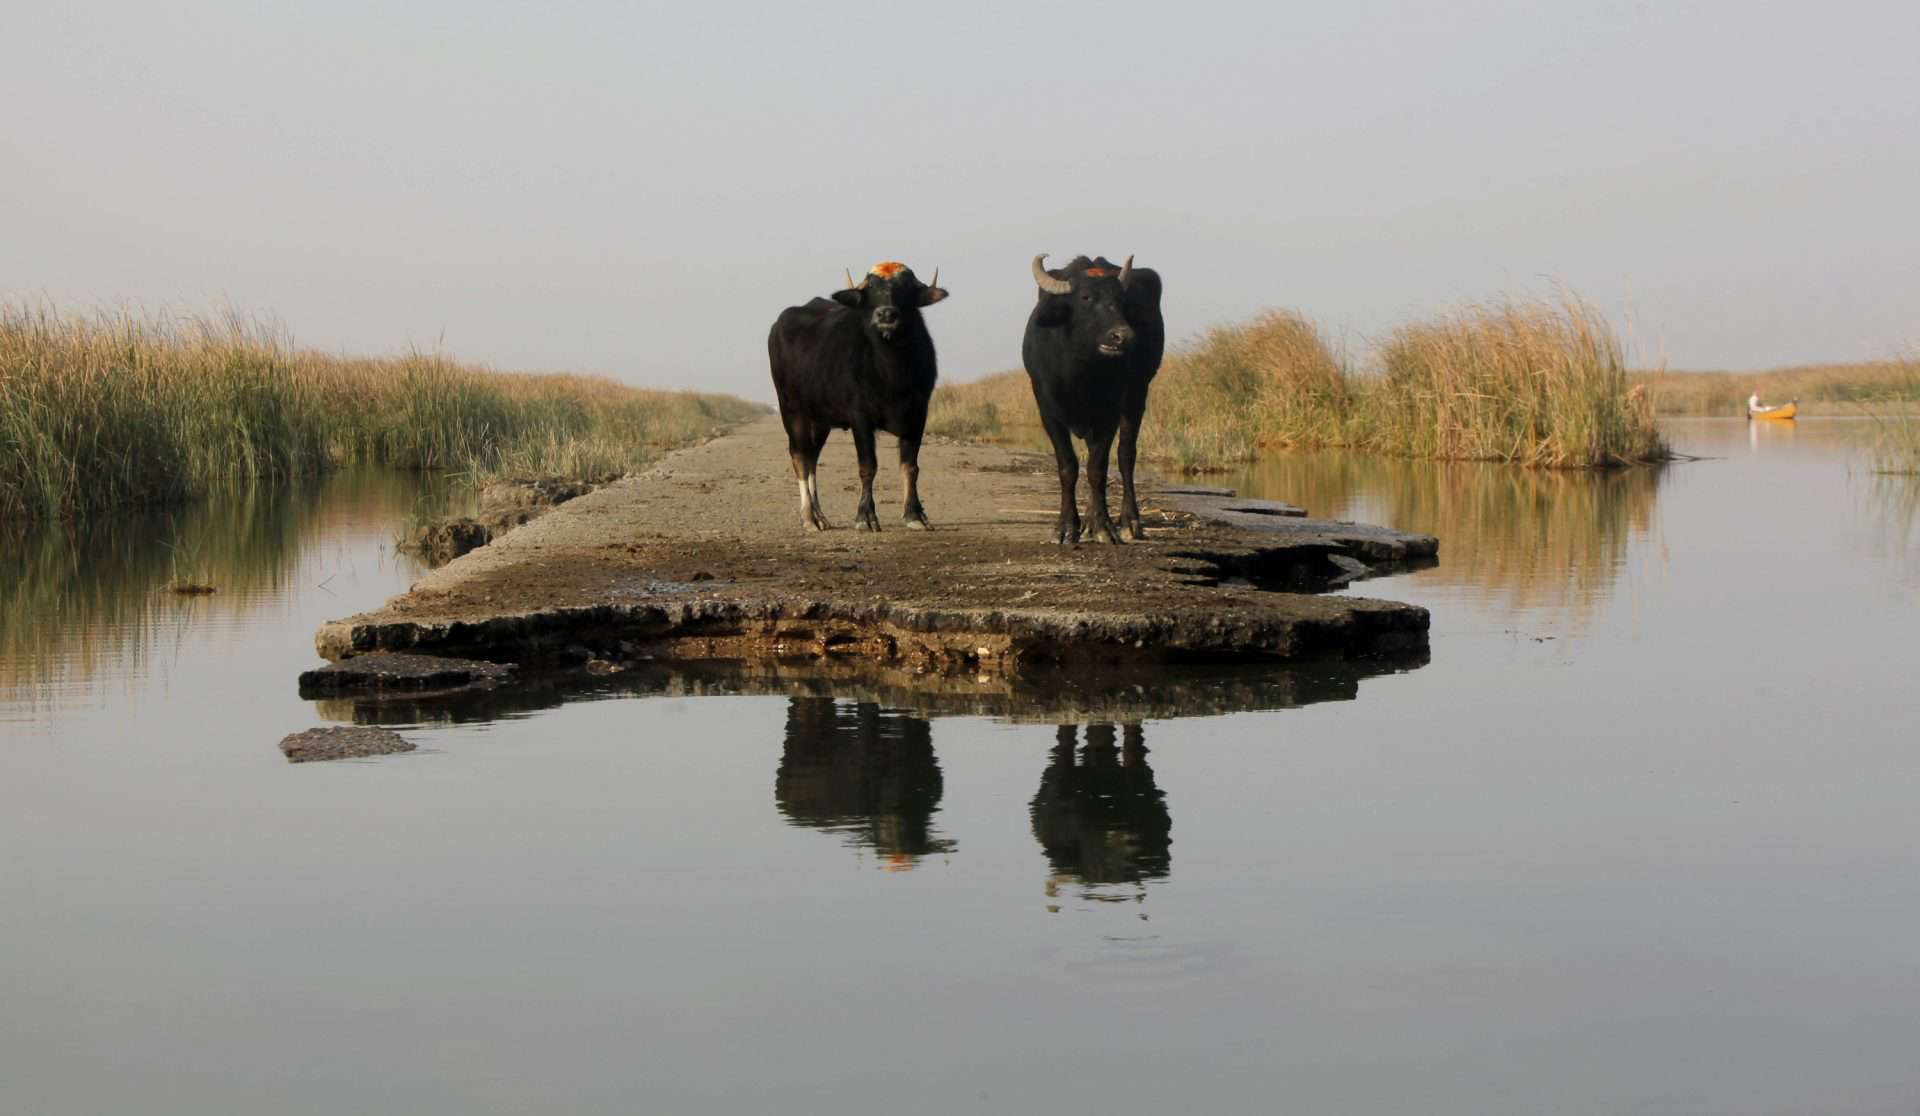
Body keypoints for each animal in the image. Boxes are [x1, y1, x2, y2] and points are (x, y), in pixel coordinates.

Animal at [764, 265, 944, 533]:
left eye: (905, 287)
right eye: (870, 288)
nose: (886, 314)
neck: (892, 372)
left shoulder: (918, 413)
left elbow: (910, 467)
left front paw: (915, 515)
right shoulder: (860, 416)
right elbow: (868, 466)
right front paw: (865, 517)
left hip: (820, 420)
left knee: (812, 459)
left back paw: (821, 516)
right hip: (792, 410)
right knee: (800, 458)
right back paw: (808, 518)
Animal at [1021, 257, 1167, 545]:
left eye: (1120, 300)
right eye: (1086, 297)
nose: (1122, 336)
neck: (1079, 371)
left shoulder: (1108, 413)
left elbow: (1097, 468)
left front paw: (1103, 526)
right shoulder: (1047, 410)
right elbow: (1068, 466)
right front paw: (1066, 527)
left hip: (1137, 394)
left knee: (1126, 455)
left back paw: (1129, 522)